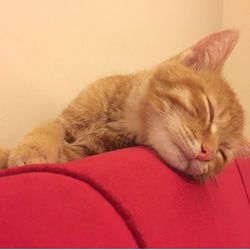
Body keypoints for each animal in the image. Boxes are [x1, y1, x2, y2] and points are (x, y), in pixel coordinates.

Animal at [0, 29, 250, 182]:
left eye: (222, 153)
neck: (120, 115)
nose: (207, 154)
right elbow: (48, 127)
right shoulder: (65, 120)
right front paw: (31, 149)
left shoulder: (79, 154)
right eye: (209, 111)